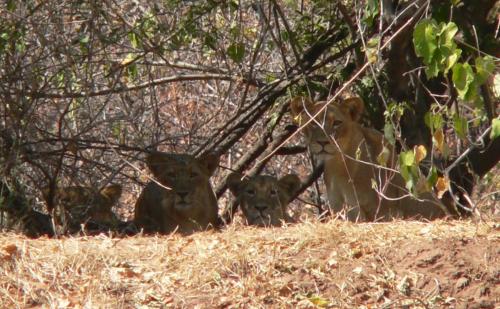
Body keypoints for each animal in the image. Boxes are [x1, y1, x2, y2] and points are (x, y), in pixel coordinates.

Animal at [290, 95, 450, 220]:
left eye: (337, 123)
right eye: (312, 123)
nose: (322, 142)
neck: (339, 165)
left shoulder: (384, 210)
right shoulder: (340, 209)